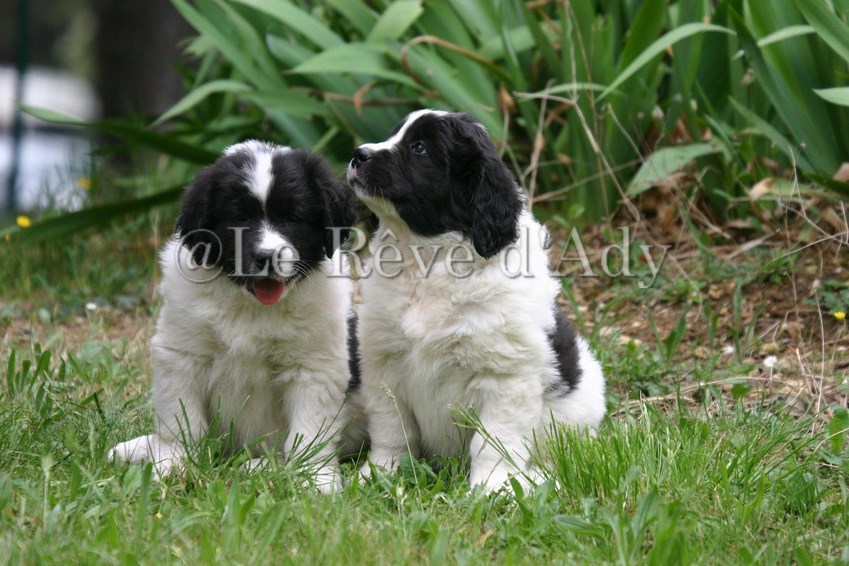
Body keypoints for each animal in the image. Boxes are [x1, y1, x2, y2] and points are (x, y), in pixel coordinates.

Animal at [109, 140, 356, 492]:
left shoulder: (314, 364)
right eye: (239, 217)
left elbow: (310, 431)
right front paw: (172, 463)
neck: (250, 306)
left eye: (293, 217)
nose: (266, 257)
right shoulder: (182, 353)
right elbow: (180, 419)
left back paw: (258, 467)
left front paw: (315, 479)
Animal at [345, 110, 606, 492]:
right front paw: (381, 472)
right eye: (394, 134)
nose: (358, 154)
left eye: (420, 148)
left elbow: (493, 440)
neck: (428, 258)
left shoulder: (505, 378)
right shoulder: (385, 364)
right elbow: (392, 427)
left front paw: (493, 488)